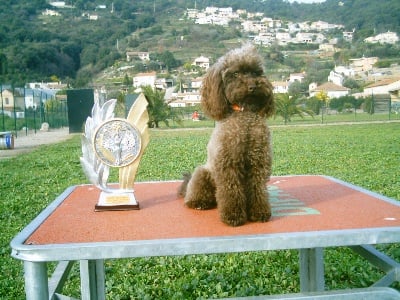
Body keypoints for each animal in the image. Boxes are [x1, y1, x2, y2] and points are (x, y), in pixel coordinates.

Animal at [179, 44, 276, 227]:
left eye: (256, 72)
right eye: (235, 74)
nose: (253, 86)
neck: (245, 114)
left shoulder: (258, 163)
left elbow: (258, 189)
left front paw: (259, 212)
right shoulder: (228, 165)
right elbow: (231, 191)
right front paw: (233, 216)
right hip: (203, 173)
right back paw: (199, 202)